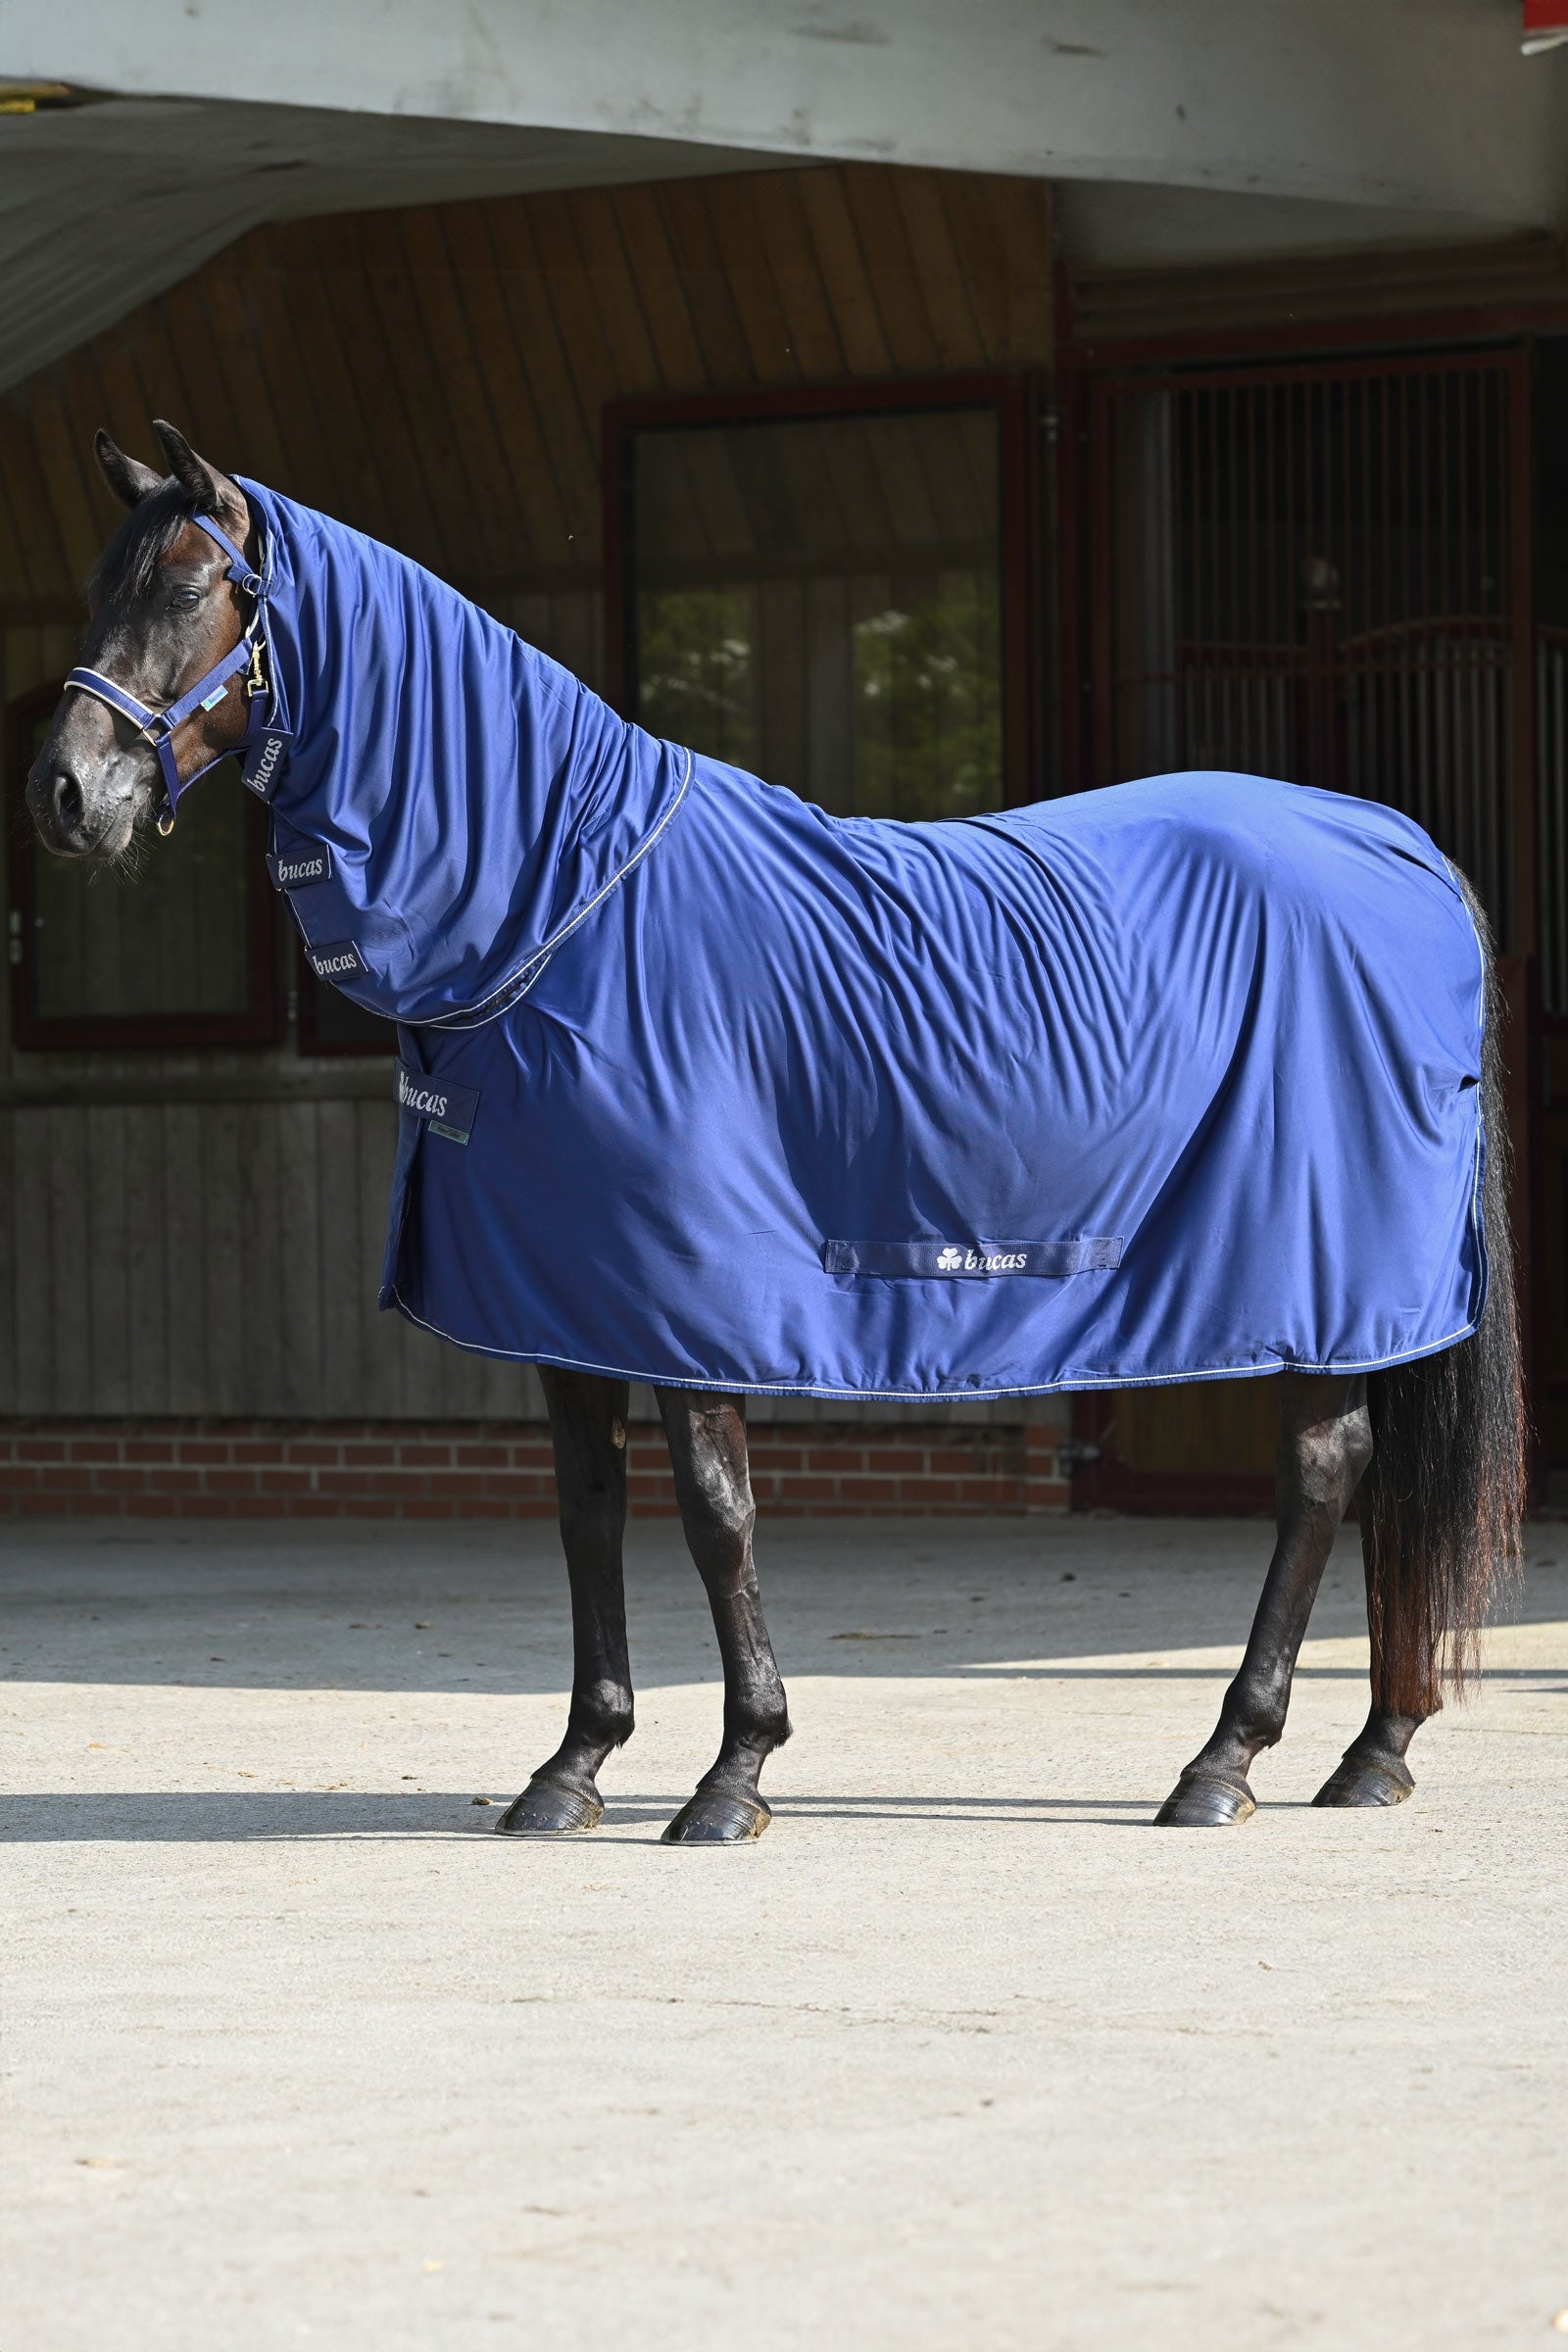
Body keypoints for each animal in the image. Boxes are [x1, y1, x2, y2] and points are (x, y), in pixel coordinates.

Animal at [27, 421, 1526, 1844]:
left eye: (187, 587)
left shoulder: (691, 1301)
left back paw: (1227, 1760)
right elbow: (585, 1508)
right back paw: (1369, 1753)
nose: (64, 796)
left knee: (1322, 1472)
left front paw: (735, 1771)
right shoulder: (562, 1301)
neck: (560, 907)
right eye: (95, 586)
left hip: (1325, 1274)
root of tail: (1393, 840)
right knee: (1377, 1483)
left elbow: (714, 1511)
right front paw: (573, 1768)